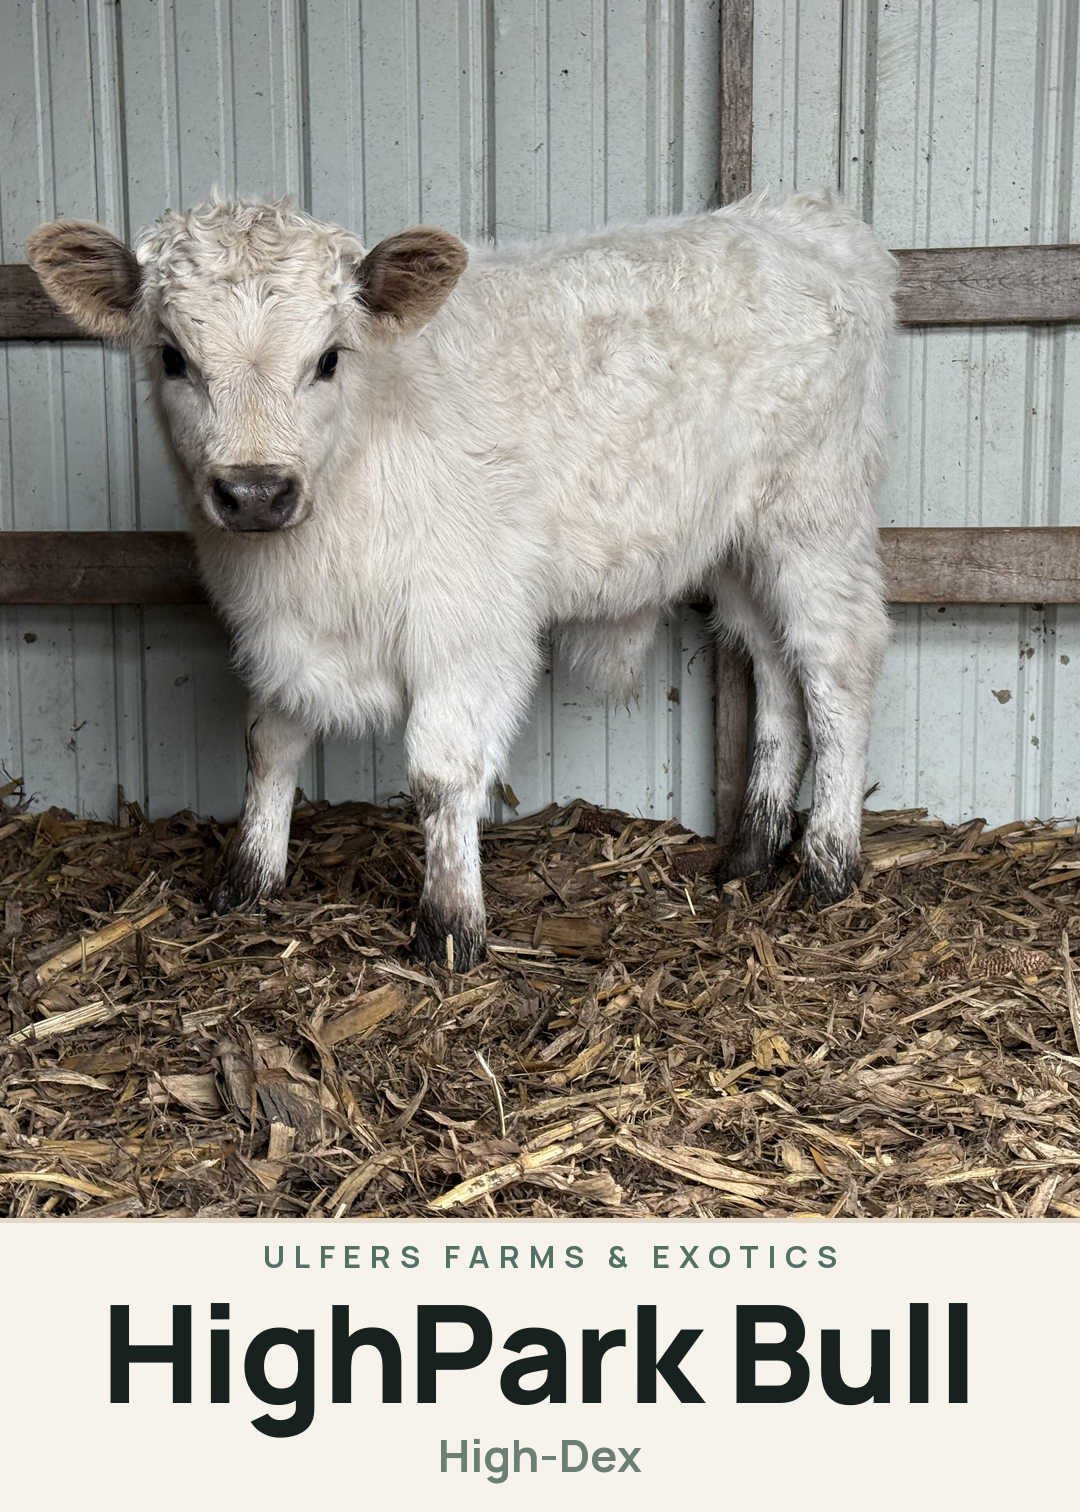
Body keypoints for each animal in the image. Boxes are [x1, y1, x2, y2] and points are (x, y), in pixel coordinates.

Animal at [26, 188, 895, 970]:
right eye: (173, 357)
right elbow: (268, 743)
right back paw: (750, 853)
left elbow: (440, 776)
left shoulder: (467, 624)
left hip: (813, 517)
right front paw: (247, 883)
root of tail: (793, 216)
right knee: (776, 667)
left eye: (329, 358)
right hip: (736, 547)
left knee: (837, 664)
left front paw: (449, 927)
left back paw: (827, 864)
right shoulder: (282, 633)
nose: (255, 491)